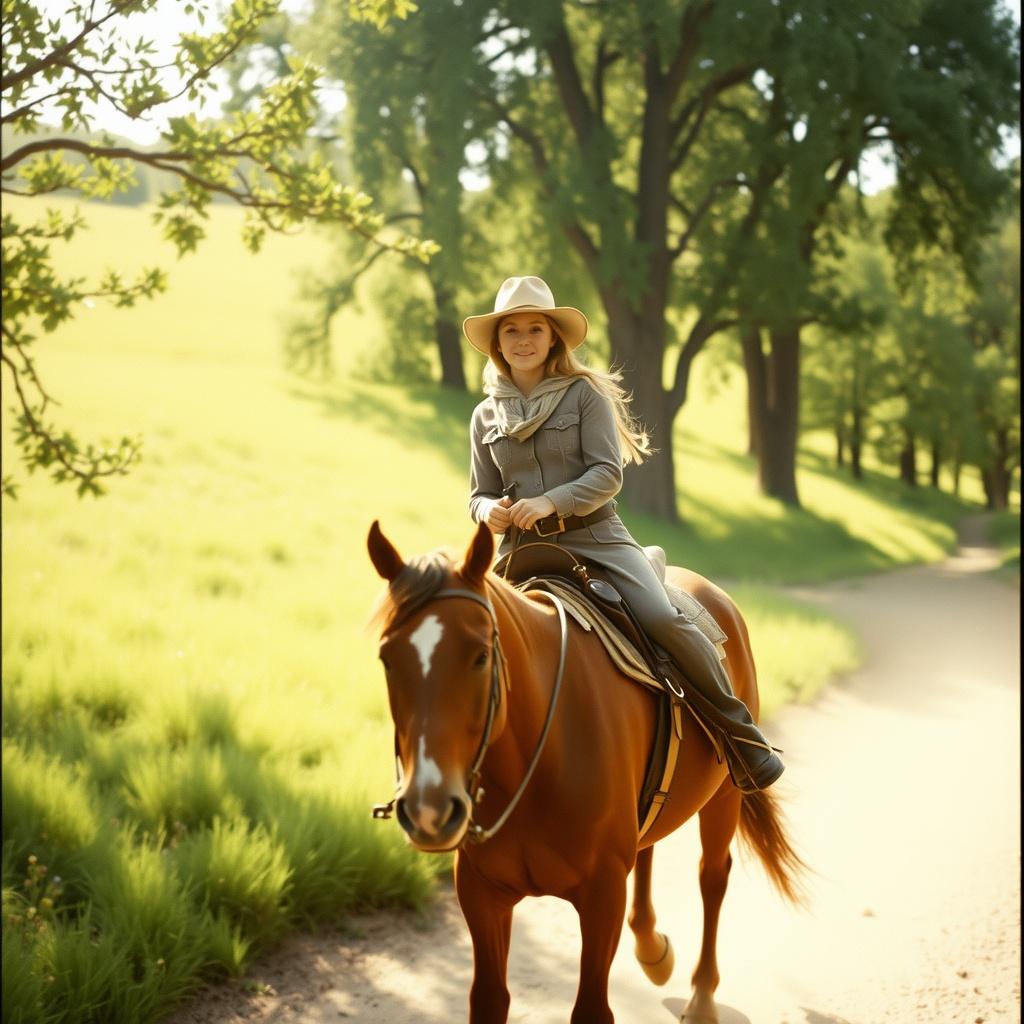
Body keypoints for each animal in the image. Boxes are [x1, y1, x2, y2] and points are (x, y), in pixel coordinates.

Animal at [367, 519, 805, 1023]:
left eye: (479, 656)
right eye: (387, 659)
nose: (429, 810)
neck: (537, 759)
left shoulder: (602, 896)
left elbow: (592, 1008)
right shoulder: (481, 893)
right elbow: (490, 999)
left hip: (724, 798)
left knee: (712, 877)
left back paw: (701, 998)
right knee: (650, 850)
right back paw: (653, 950)